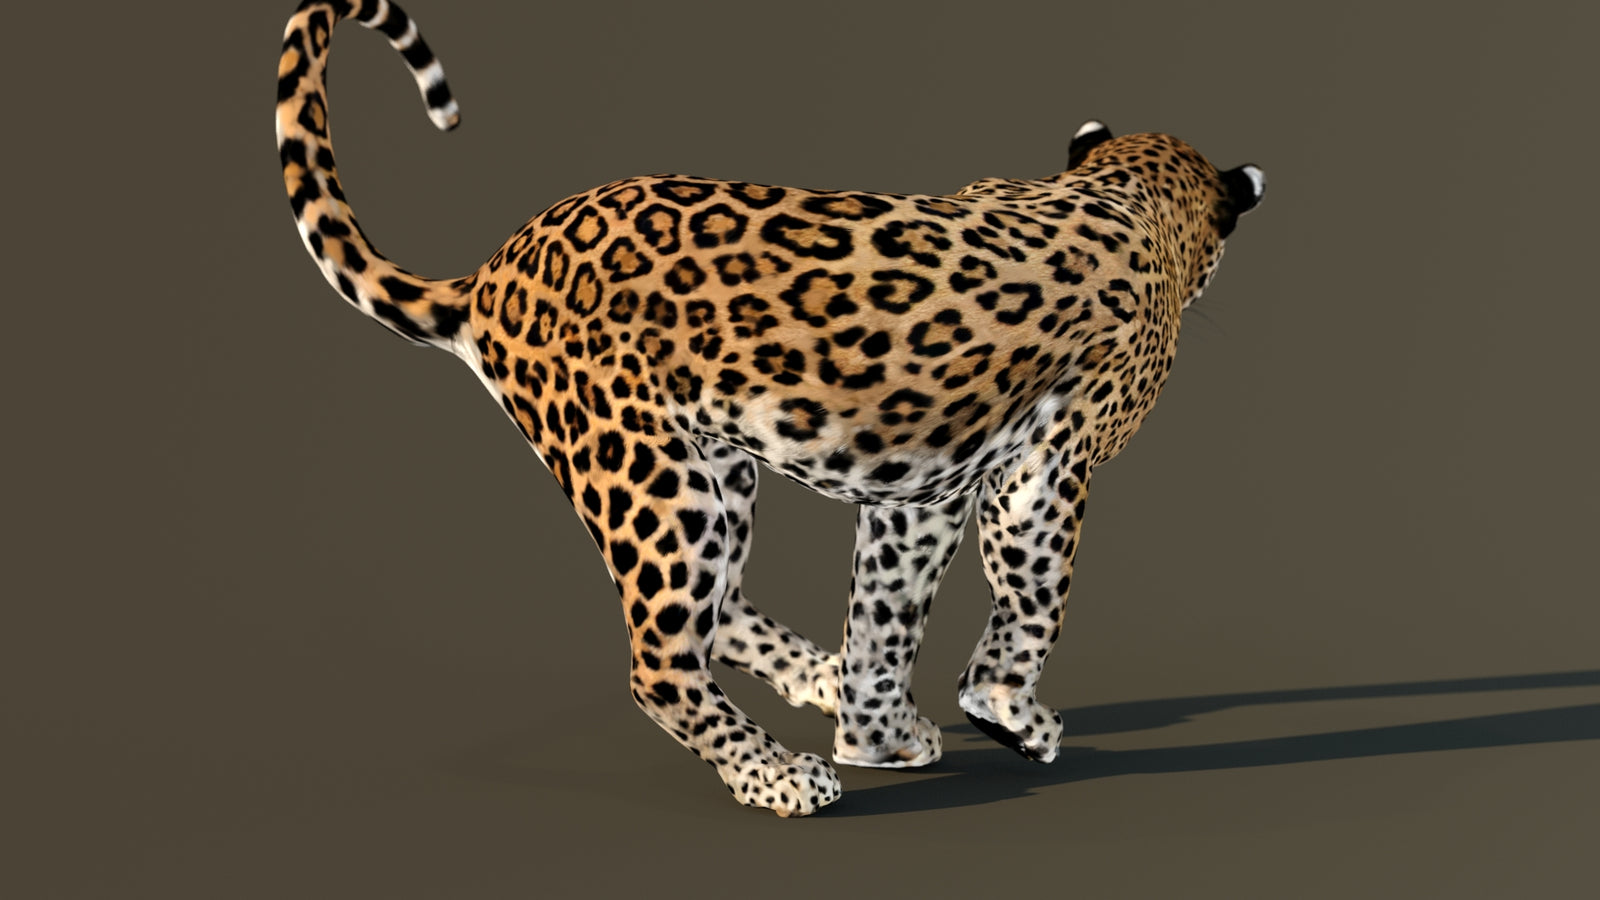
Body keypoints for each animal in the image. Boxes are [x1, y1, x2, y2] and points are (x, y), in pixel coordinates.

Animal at [276, 0, 1264, 817]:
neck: (1127, 193)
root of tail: (491, 274)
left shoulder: (923, 493)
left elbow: (887, 609)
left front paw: (877, 733)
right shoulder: (1046, 470)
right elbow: (1036, 596)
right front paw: (1008, 713)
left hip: (714, 472)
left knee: (716, 607)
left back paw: (818, 681)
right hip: (650, 478)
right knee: (661, 658)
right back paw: (779, 776)